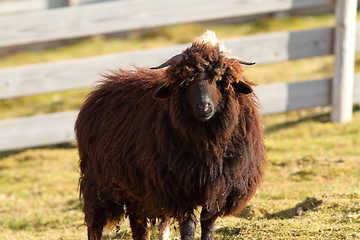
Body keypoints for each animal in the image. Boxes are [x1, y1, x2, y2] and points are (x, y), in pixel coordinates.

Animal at [76, 30, 266, 240]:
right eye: (186, 82)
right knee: (95, 224)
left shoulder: (218, 188)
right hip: (98, 183)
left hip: (136, 189)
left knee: (137, 223)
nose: (204, 107)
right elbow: (189, 225)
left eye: (220, 79)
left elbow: (208, 223)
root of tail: (101, 89)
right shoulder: (179, 190)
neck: (209, 143)